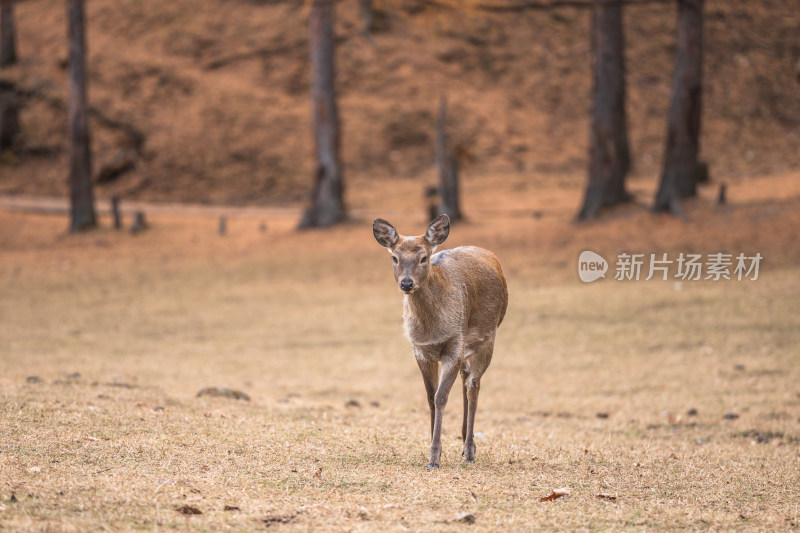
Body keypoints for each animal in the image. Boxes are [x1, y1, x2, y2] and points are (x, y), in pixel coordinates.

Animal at [374, 214, 510, 468]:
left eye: (424, 258)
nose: (406, 283)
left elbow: (441, 397)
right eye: (394, 257)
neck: (432, 331)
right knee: (466, 378)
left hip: (488, 339)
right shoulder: (420, 351)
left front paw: (435, 456)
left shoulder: (454, 344)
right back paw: (465, 441)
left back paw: (469, 450)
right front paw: (432, 450)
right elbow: (430, 397)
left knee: (473, 385)